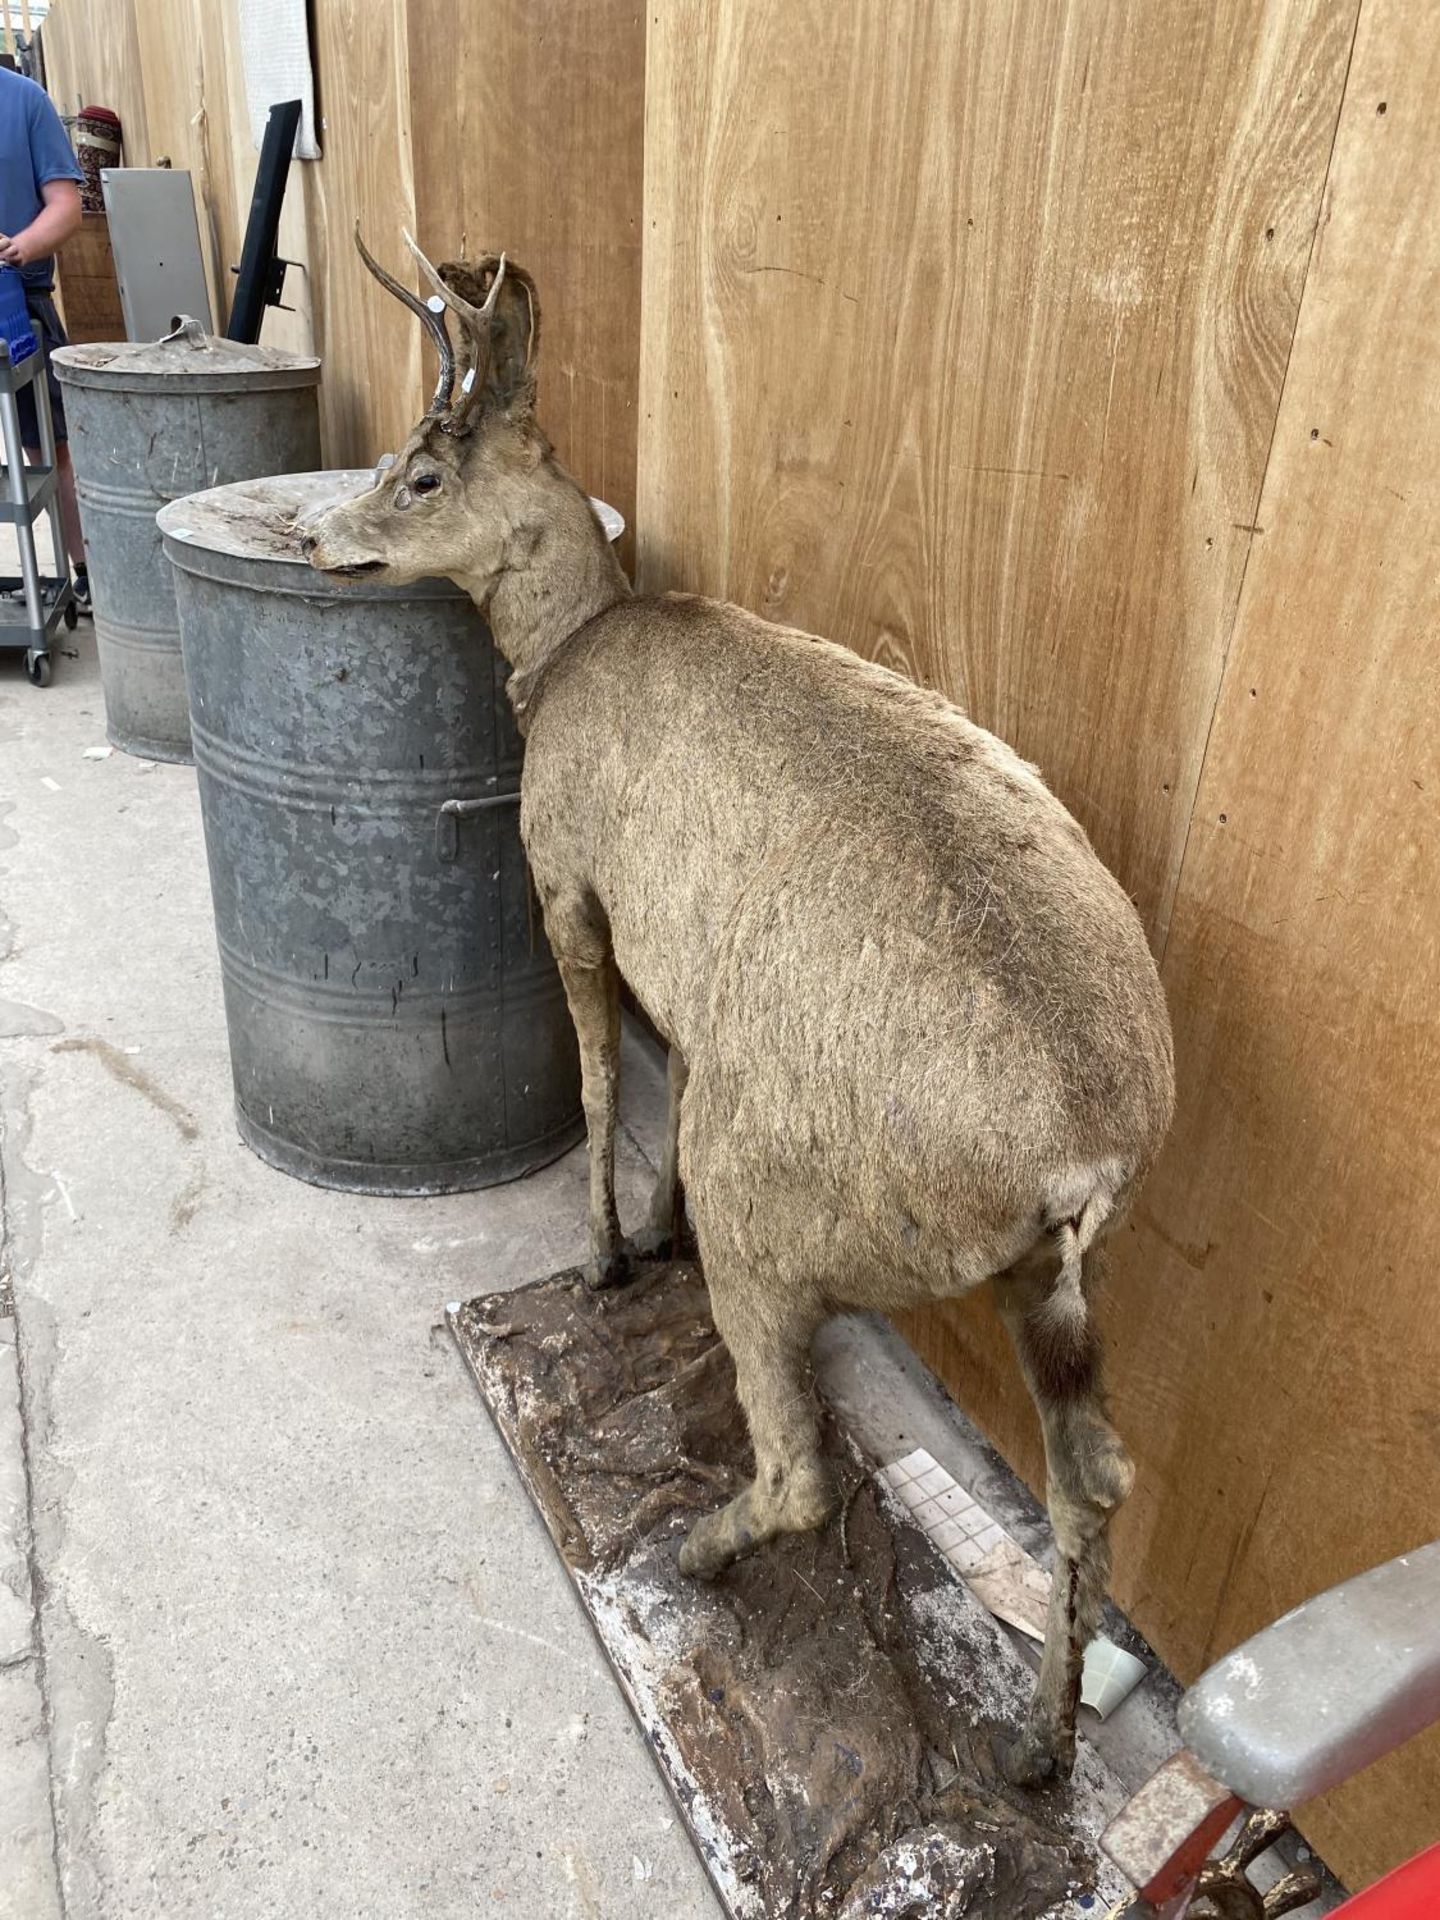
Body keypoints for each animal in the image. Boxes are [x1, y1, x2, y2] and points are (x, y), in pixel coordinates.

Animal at [311, 232, 1175, 1789]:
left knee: (801, 1467)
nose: (316, 536)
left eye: (420, 472)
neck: (568, 655)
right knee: (1094, 1483)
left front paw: (606, 1252)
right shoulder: (693, 986)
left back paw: (690, 1553)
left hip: (779, 1194)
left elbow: (600, 1075)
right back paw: (1036, 1749)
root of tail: (1084, 1160)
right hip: (1043, 1278)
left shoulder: (567, 870)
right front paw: (644, 1234)